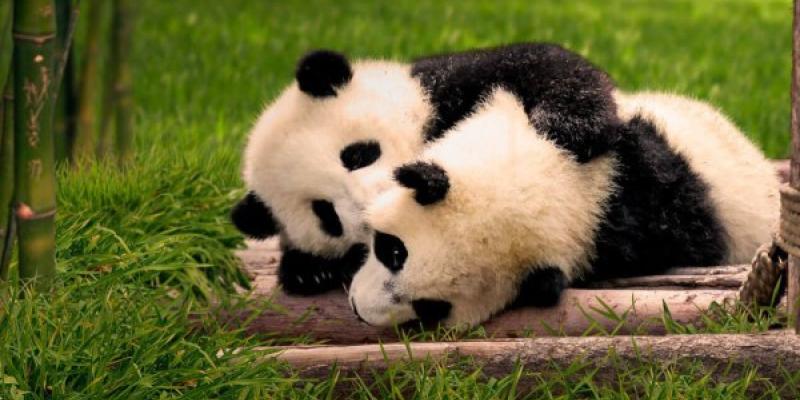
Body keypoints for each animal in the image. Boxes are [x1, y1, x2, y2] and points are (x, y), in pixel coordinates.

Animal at [231, 43, 620, 296]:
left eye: (357, 155)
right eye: (325, 213)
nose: (374, 204)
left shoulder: (443, 85)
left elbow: (541, 64)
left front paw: (565, 126)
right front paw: (307, 272)